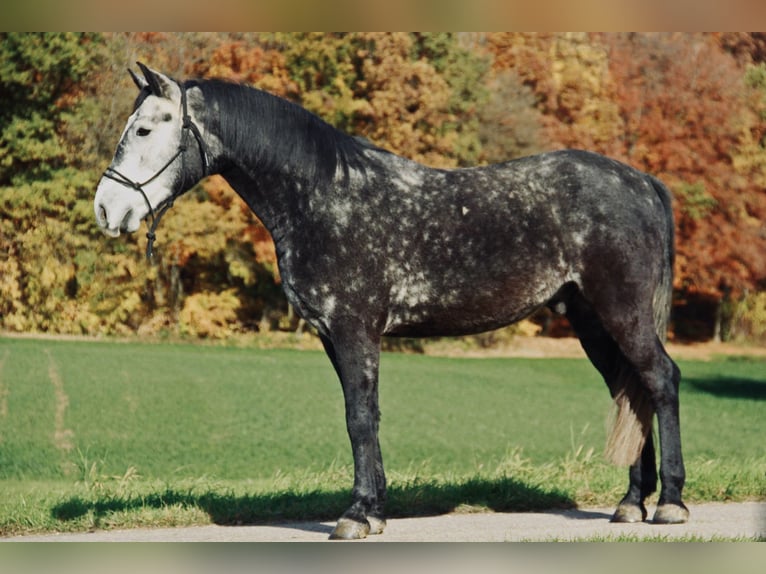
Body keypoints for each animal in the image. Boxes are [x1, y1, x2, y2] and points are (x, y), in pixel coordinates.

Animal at [94, 63, 688, 539]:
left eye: (144, 128)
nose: (106, 209)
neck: (323, 196)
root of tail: (641, 182)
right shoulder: (333, 336)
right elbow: (363, 415)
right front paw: (376, 509)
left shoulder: (355, 328)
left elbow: (359, 416)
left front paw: (357, 516)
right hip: (593, 323)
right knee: (631, 390)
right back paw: (630, 504)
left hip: (623, 314)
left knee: (660, 380)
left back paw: (670, 504)